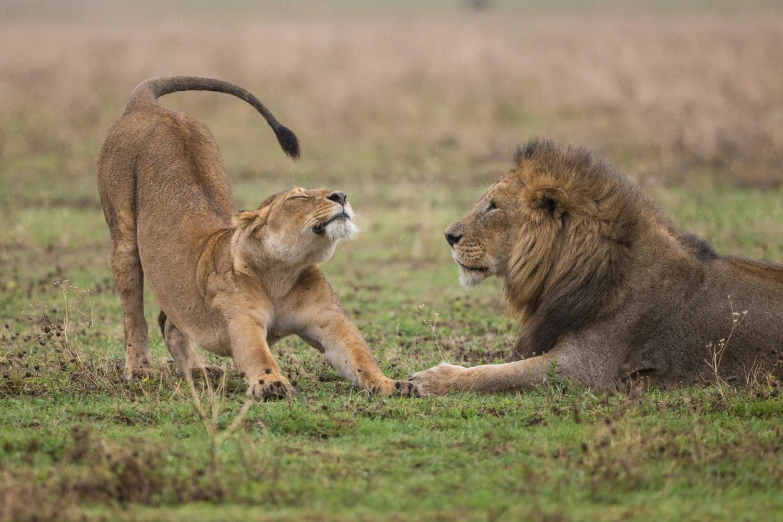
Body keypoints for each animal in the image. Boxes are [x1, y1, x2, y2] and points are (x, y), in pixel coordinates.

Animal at [99, 75, 420, 396]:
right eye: (298, 197)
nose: (341, 195)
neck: (282, 273)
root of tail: (147, 105)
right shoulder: (242, 320)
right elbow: (256, 353)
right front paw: (271, 382)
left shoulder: (329, 320)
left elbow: (359, 355)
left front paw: (390, 383)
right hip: (123, 239)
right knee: (134, 315)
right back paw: (139, 370)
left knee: (169, 321)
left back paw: (199, 371)